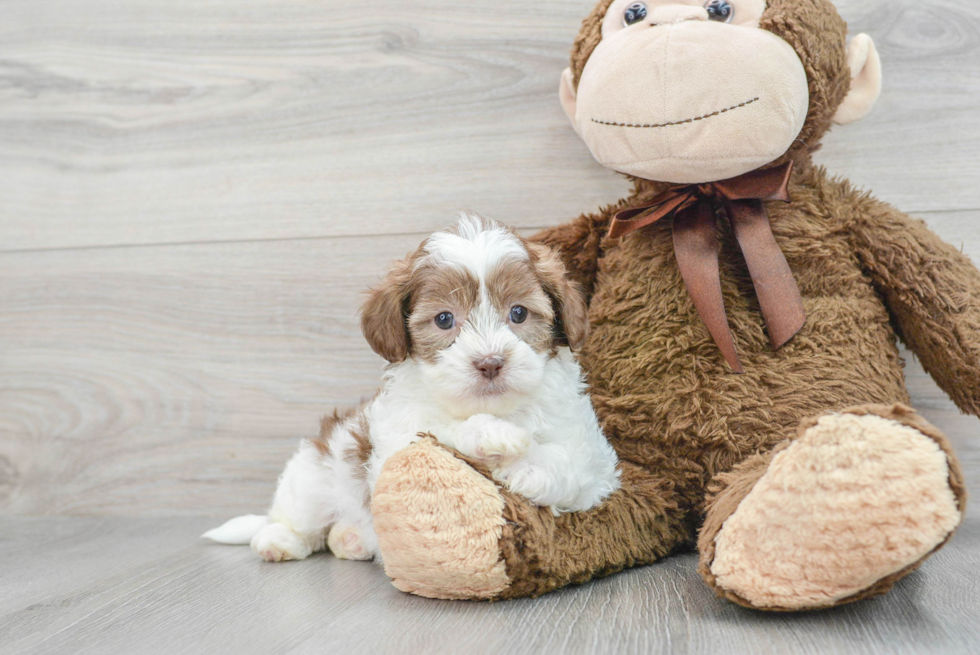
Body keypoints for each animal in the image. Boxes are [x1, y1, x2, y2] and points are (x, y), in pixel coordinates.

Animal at [204, 215, 620, 564]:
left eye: (518, 313)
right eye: (444, 319)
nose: (489, 362)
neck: (495, 407)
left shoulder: (596, 464)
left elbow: (576, 464)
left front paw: (529, 468)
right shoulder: (396, 445)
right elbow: (437, 433)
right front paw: (493, 436)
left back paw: (350, 539)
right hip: (313, 474)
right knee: (295, 518)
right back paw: (279, 541)